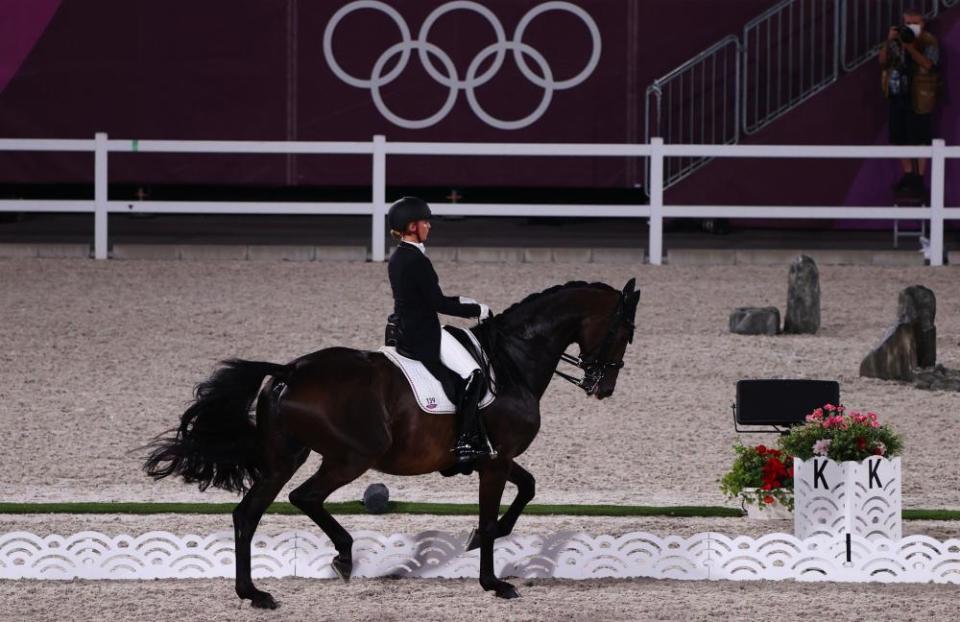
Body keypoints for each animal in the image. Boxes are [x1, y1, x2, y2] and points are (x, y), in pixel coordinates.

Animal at [144, 280, 636, 608]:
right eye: (624, 332)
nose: (604, 387)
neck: (511, 359)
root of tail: (290, 370)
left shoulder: (495, 457)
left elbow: (528, 488)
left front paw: (482, 539)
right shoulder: (495, 462)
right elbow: (493, 514)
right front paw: (494, 581)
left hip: (288, 456)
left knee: (250, 512)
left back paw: (255, 592)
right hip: (352, 456)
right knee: (304, 497)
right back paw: (339, 558)